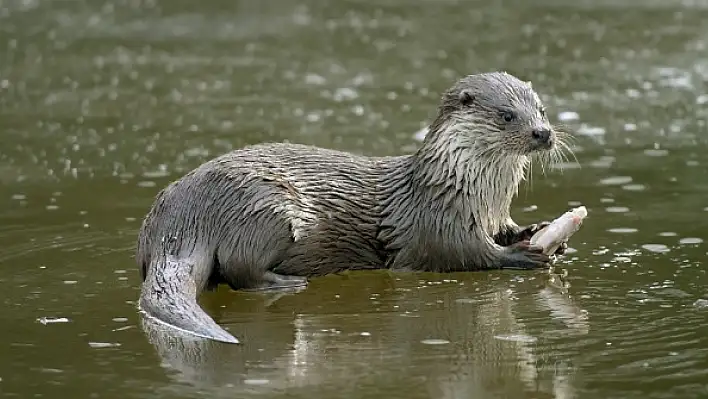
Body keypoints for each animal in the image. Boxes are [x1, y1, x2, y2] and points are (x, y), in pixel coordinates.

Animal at [136, 71, 572, 344]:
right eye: (506, 115)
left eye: (542, 110)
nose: (543, 133)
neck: (469, 190)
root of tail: (177, 220)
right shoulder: (436, 222)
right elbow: (464, 253)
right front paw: (523, 254)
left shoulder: (491, 215)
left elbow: (503, 231)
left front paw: (538, 232)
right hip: (265, 207)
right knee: (241, 268)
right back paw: (287, 283)